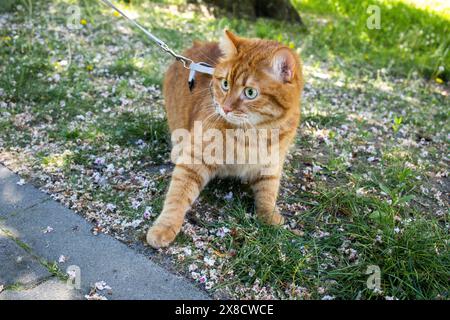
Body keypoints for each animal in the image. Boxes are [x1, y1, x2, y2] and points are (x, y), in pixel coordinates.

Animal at [146, 30, 304, 250]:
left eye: (250, 92)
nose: (225, 108)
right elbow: (177, 195)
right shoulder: (195, 158)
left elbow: (268, 191)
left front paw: (269, 216)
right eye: (225, 84)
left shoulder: (272, 162)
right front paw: (164, 227)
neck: (254, 133)